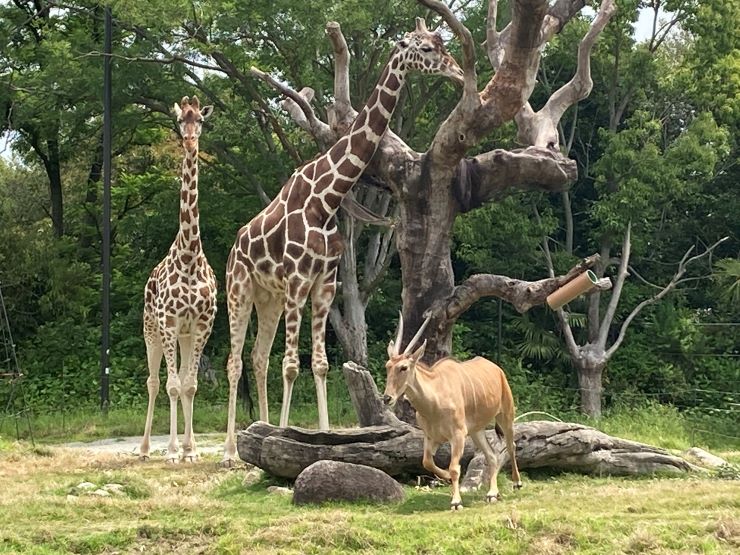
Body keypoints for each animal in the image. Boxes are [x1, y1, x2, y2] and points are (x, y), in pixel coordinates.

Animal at [220, 19, 462, 466]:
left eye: (441, 43)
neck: (326, 198)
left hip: (269, 298)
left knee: (257, 358)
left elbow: (319, 364)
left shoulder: (323, 284)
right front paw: (283, 435)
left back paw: (257, 427)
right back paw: (230, 451)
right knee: (234, 361)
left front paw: (319, 436)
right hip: (239, 289)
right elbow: (291, 365)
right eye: (424, 47)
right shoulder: (299, 281)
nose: (457, 71)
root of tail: (235, 246)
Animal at [384, 314, 524, 510]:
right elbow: (427, 462)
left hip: (506, 416)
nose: (386, 398)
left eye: (403, 367)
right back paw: (492, 493)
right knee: (491, 456)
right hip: (476, 431)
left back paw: (516, 483)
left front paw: (456, 501)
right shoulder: (431, 437)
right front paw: (446, 479)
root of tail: (497, 369)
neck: (434, 402)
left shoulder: (457, 435)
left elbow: (454, 468)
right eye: (387, 366)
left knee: (511, 446)